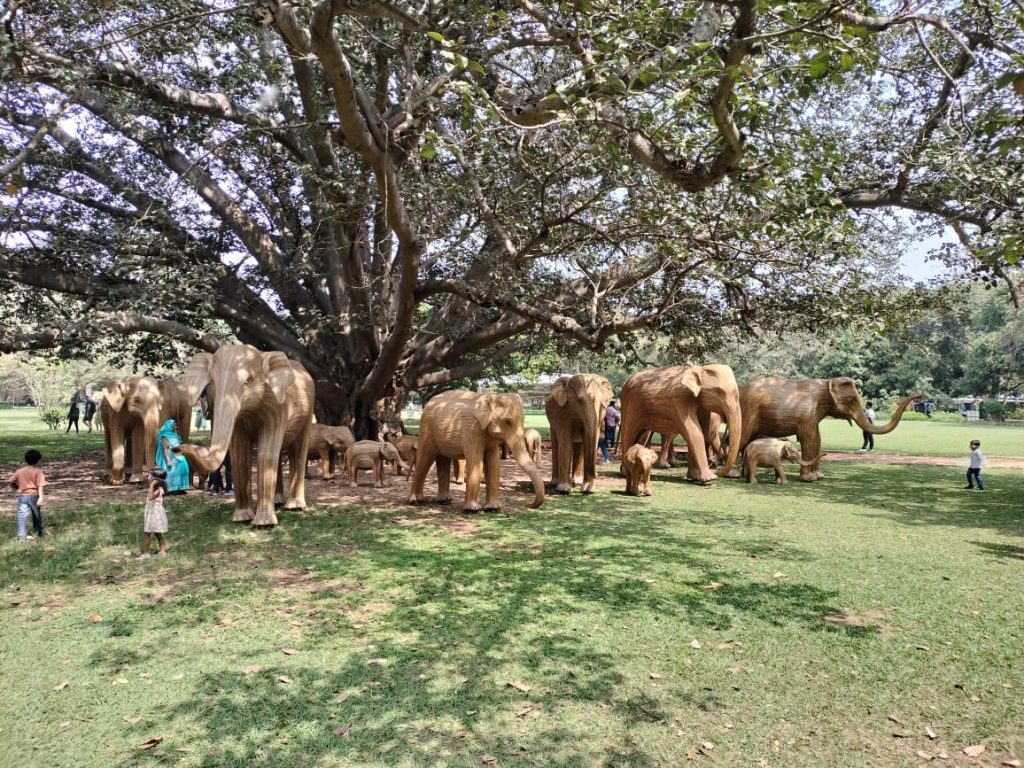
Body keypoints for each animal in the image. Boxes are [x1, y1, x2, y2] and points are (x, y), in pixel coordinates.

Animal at [176, 345, 315, 527]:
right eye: (212, 382)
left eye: (249, 380)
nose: (176, 448)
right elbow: (239, 456)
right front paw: (241, 518)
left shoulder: (278, 405)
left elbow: (266, 454)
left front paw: (263, 523)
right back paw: (278, 502)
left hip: (308, 410)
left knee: (298, 450)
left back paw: (294, 507)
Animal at [409, 390, 545, 512]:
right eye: (508, 421)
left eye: (523, 420)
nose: (527, 504)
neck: (490, 397)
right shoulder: (472, 430)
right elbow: (476, 461)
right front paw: (472, 509)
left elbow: (494, 463)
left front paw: (493, 508)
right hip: (427, 429)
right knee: (424, 459)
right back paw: (416, 501)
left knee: (443, 460)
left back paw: (444, 501)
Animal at [735, 377, 920, 481]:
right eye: (851, 399)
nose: (919, 395)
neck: (825, 383)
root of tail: (741, 388)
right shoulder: (807, 414)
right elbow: (809, 439)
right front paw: (809, 479)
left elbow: (818, 439)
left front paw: (819, 477)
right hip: (748, 411)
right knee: (740, 437)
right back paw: (734, 474)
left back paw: (745, 475)